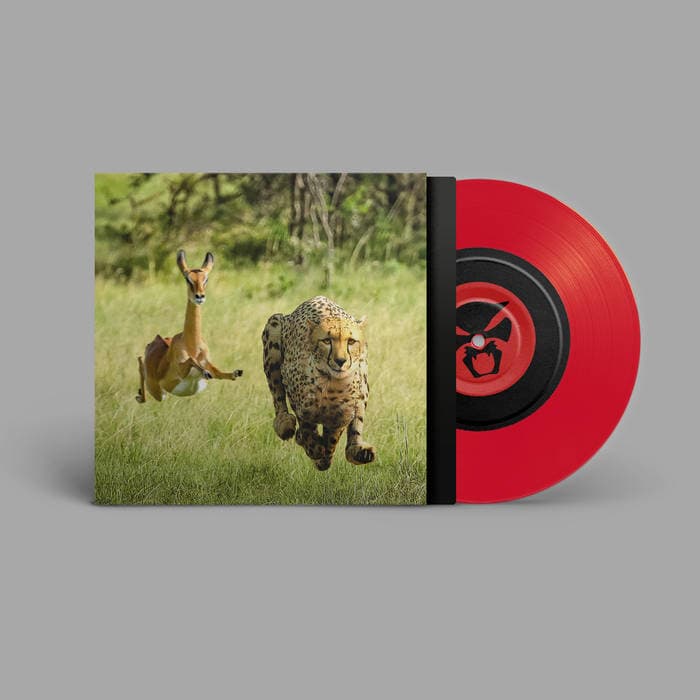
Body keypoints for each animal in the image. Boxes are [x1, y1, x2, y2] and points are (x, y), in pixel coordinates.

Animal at [136, 250, 243, 403]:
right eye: (188, 279)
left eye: (206, 279)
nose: (200, 296)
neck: (192, 346)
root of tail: (154, 341)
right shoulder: (181, 370)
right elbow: (192, 362)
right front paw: (205, 371)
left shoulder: (209, 363)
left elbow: (222, 373)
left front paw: (236, 372)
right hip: (158, 393)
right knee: (140, 364)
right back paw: (139, 396)